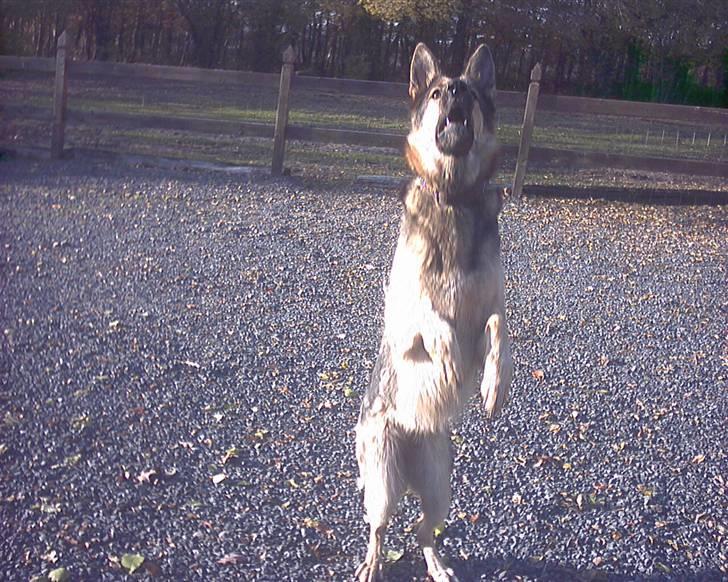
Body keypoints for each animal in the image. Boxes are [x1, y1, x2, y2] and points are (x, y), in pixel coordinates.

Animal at [352, 43, 512, 580]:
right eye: (439, 92)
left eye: (467, 92)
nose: (458, 91)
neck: (454, 195)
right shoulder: (404, 320)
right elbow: (435, 322)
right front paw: (446, 362)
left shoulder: (489, 311)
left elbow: (499, 329)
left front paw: (493, 387)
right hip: (382, 483)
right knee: (380, 529)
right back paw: (370, 565)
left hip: (441, 487)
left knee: (424, 532)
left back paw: (439, 566)